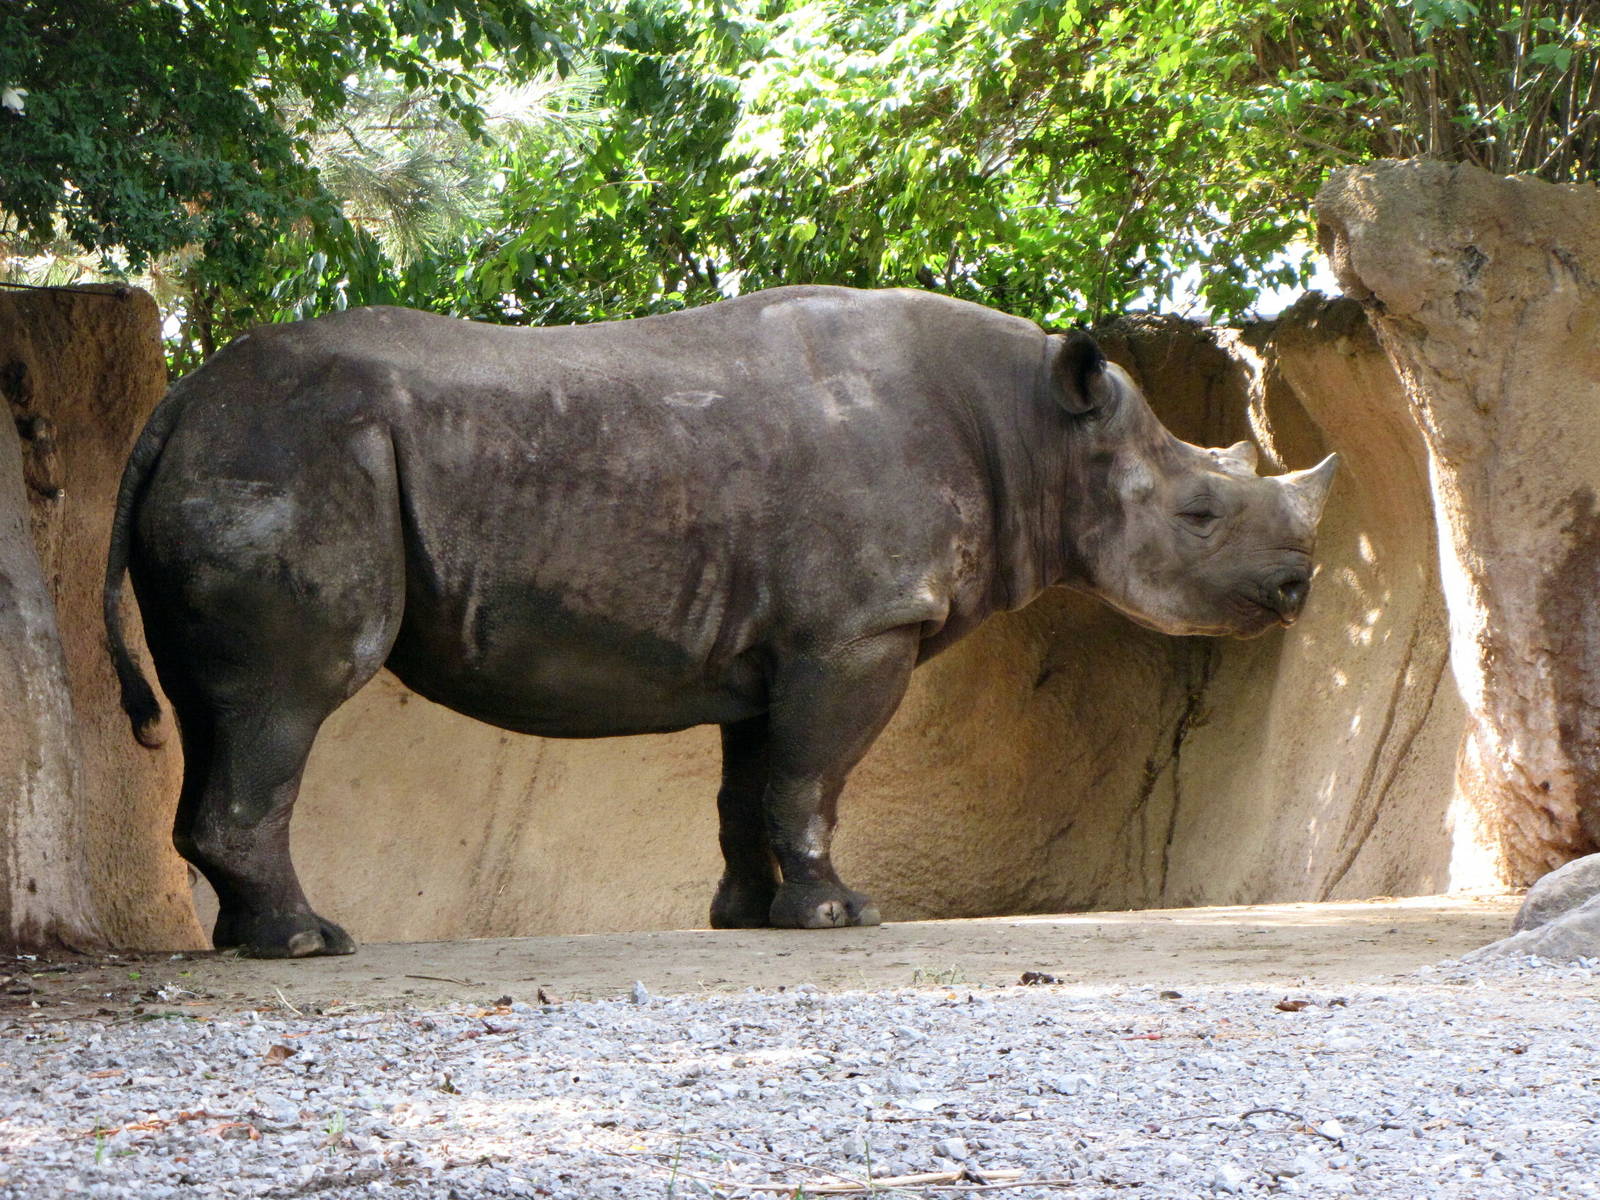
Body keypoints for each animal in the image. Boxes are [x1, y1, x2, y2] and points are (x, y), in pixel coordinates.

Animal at [104, 286, 1337, 958]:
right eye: (1200, 511)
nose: (1298, 592)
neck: (1034, 432)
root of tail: (178, 400)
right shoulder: (858, 630)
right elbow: (813, 778)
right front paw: (842, 918)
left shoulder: (787, 641)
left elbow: (756, 781)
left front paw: (748, 918)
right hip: (294, 454)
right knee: (289, 698)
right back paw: (308, 946)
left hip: (243, 454)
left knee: (219, 707)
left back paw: (251, 943)